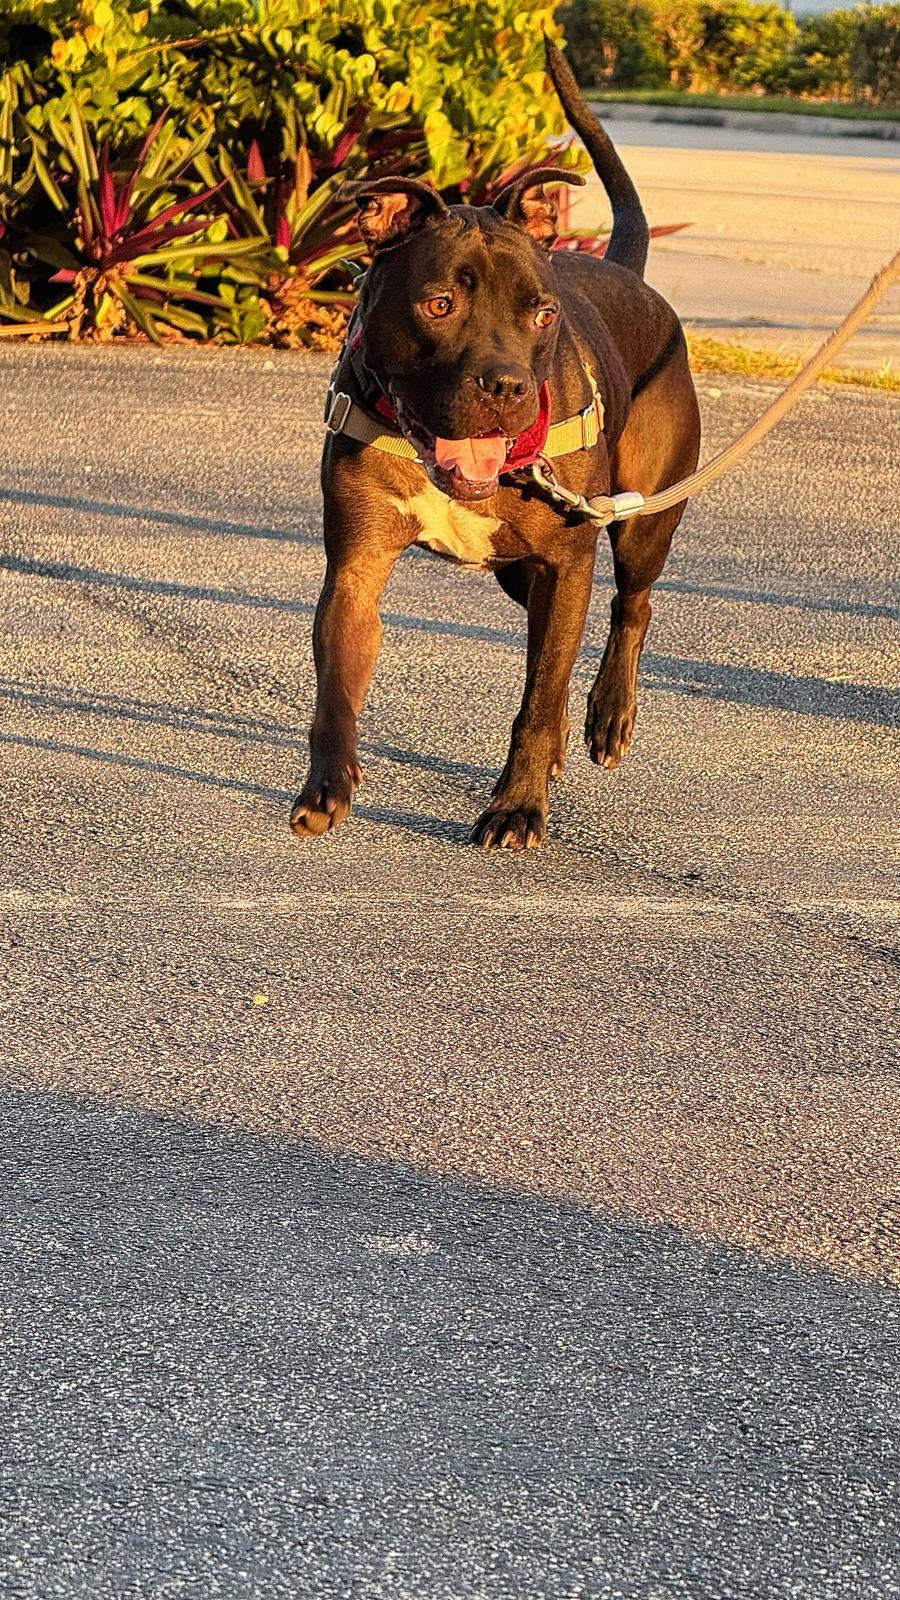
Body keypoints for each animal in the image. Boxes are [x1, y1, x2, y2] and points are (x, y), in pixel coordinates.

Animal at [291, 40, 698, 851]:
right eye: (439, 304)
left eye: (542, 314)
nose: (507, 385)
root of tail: (623, 269)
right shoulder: (357, 565)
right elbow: (336, 687)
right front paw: (329, 784)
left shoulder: (567, 559)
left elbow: (538, 697)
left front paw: (517, 807)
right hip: (519, 571)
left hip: (639, 524)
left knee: (629, 607)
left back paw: (609, 718)